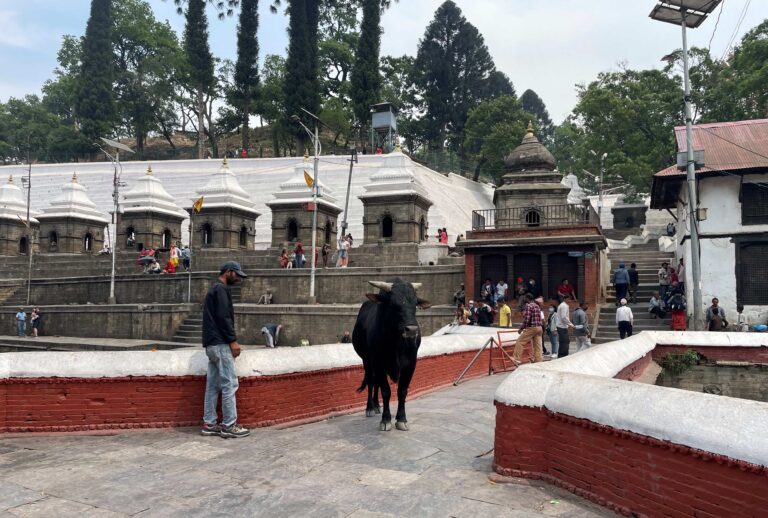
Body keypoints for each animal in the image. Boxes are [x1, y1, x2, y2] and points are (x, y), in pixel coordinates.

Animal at [352, 278, 428, 432]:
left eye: (415, 303)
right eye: (393, 304)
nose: (412, 330)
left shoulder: (410, 364)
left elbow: (402, 391)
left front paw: (402, 419)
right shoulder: (378, 362)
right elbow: (386, 391)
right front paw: (386, 420)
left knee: (376, 383)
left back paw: (376, 405)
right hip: (367, 361)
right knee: (371, 381)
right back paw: (370, 407)